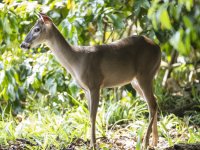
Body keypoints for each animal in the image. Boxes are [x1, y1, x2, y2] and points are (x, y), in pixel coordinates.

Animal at [20, 13, 161, 149]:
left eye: (36, 29)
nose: (23, 45)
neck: (76, 61)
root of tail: (158, 48)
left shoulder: (95, 84)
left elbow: (93, 115)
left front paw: (93, 144)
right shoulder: (86, 89)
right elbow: (89, 115)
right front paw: (91, 143)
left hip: (145, 74)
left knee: (152, 104)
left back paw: (145, 143)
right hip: (137, 80)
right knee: (154, 102)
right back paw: (154, 141)